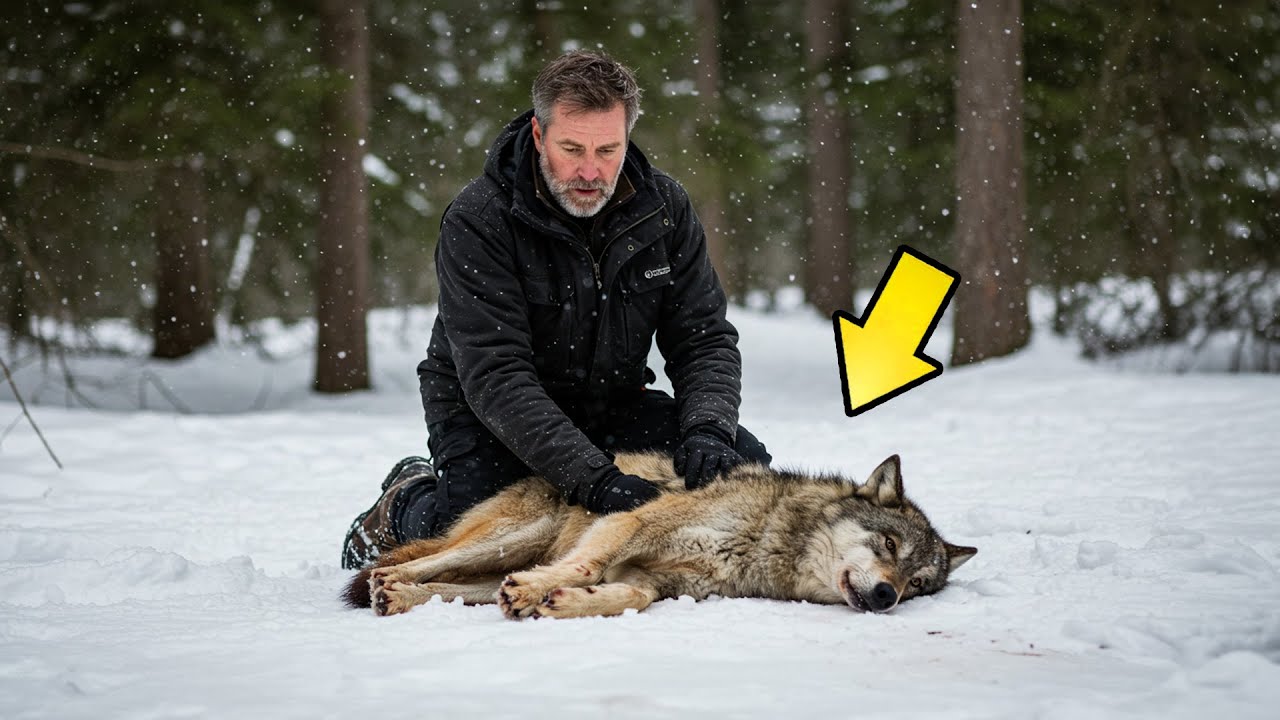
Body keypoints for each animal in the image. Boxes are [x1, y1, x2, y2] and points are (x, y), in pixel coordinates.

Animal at [342, 452, 975, 619]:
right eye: (889, 547)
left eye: (919, 584)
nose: (888, 596)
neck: (766, 537)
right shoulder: (634, 522)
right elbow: (588, 565)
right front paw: (547, 593)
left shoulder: (657, 580)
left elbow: (630, 596)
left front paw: (562, 602)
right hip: (509, 538)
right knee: (416, 562)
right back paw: (385, 578)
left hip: (496, 562)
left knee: (451, 585)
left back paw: (400, 597)